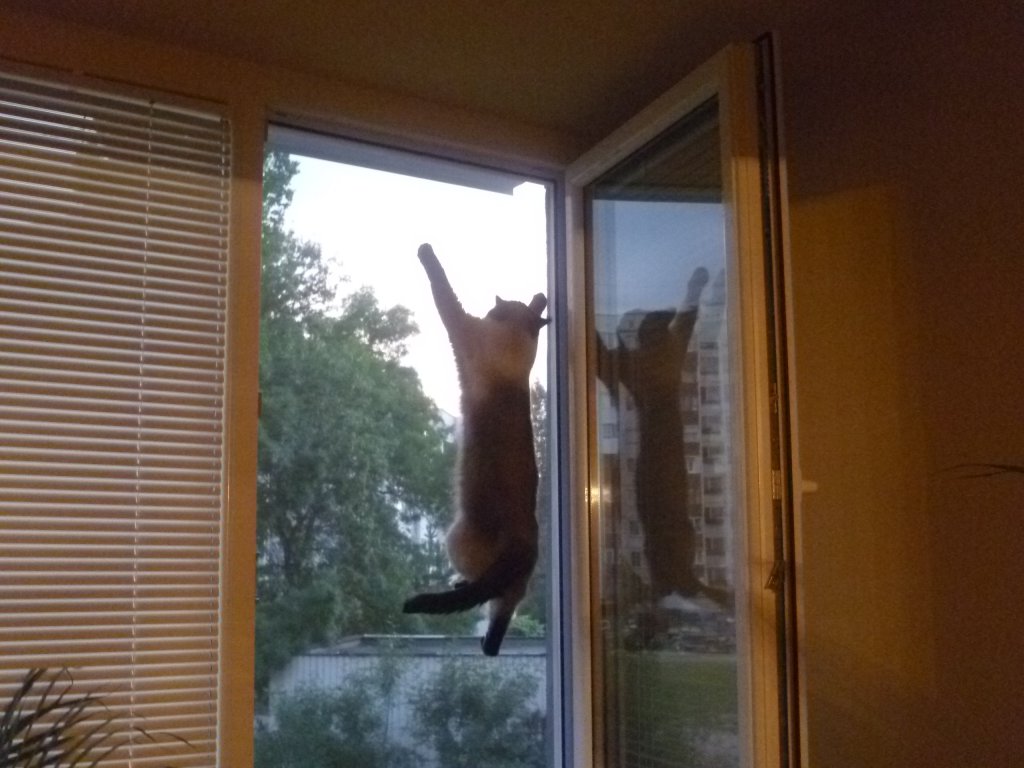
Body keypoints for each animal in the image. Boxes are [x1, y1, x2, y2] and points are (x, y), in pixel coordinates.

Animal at [403, 243, 549, 656]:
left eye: (492, 311)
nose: (490, 311)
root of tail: (524, 545)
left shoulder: (462, 329)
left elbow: (442, 288)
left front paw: (425, 250)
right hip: (515, 591)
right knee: (500, 615)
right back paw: (486, 641)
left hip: (454, 536)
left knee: (483, 592)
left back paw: (460, 589)